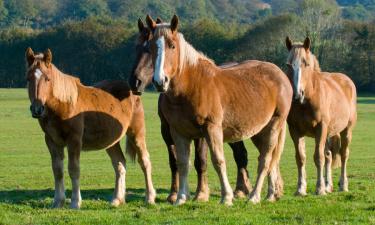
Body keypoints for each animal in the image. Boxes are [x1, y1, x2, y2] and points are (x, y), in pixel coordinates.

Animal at [25, 48, 156, 209]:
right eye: (28, 79)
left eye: (47, 79)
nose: (37, 109)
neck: (65, 104)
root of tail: (132, 90)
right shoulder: (52, 142)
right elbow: (58, 171)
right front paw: (57, 202)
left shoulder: (74, 141)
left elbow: (74, 169)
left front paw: (75, 202)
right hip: (111, 142)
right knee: (119, 164)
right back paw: (117, 199)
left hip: (136, 134)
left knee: (144, 162)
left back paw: (149, 198)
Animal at [129, 18, 253, 203]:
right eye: (137, 47)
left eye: (147, 49)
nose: (134, 82)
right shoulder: (168, 132)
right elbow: (175, 162)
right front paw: (174, 193)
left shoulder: (202, 133)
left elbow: (200, 161)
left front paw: (201, 193)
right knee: (240, 154)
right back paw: (240, 189)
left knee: (242, 155)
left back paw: (242, 189)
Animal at [145, 15, 294, 206]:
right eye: (150, 47)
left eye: (172, 45)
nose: (160, 81)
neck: (191, 87)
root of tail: (281, 75)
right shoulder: (178, 132)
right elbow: (183, 163)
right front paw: (181, 198)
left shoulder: (212, 129)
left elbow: (218, 161)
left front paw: (226, 197)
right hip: (259, 131)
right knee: (271, 160)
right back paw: (270, 194)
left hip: (274, 125)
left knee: (265, 160)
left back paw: (254, 196)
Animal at [286, 37, 356, 195]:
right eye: (288, 65)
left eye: (306, 64)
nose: (297, 94)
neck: (308, 100)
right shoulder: (295, 130)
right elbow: (300, 158)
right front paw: (301, 189)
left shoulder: (321, 128)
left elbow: (318, 157)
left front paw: (319, 189)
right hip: (330, 133)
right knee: (329, 155)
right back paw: (328, 185)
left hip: (346, 130)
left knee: (344, 154)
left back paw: (343, 185)